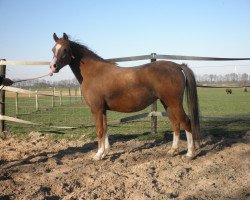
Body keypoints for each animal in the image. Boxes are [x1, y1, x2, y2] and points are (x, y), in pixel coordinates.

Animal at [49, 33, 200, 161]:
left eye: (65, 49)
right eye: (53, 49)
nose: (53, 66)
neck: (93, 73)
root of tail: (178, 66)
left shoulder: (96, 109)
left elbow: (99, 130)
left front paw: (98, 155)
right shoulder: (102, 110)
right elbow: (105, 129)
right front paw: (105, 152)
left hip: (174, 103)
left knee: (186, 122)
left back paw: (190, 153)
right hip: (167, 104)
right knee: (175, 124)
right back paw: (173, 151)